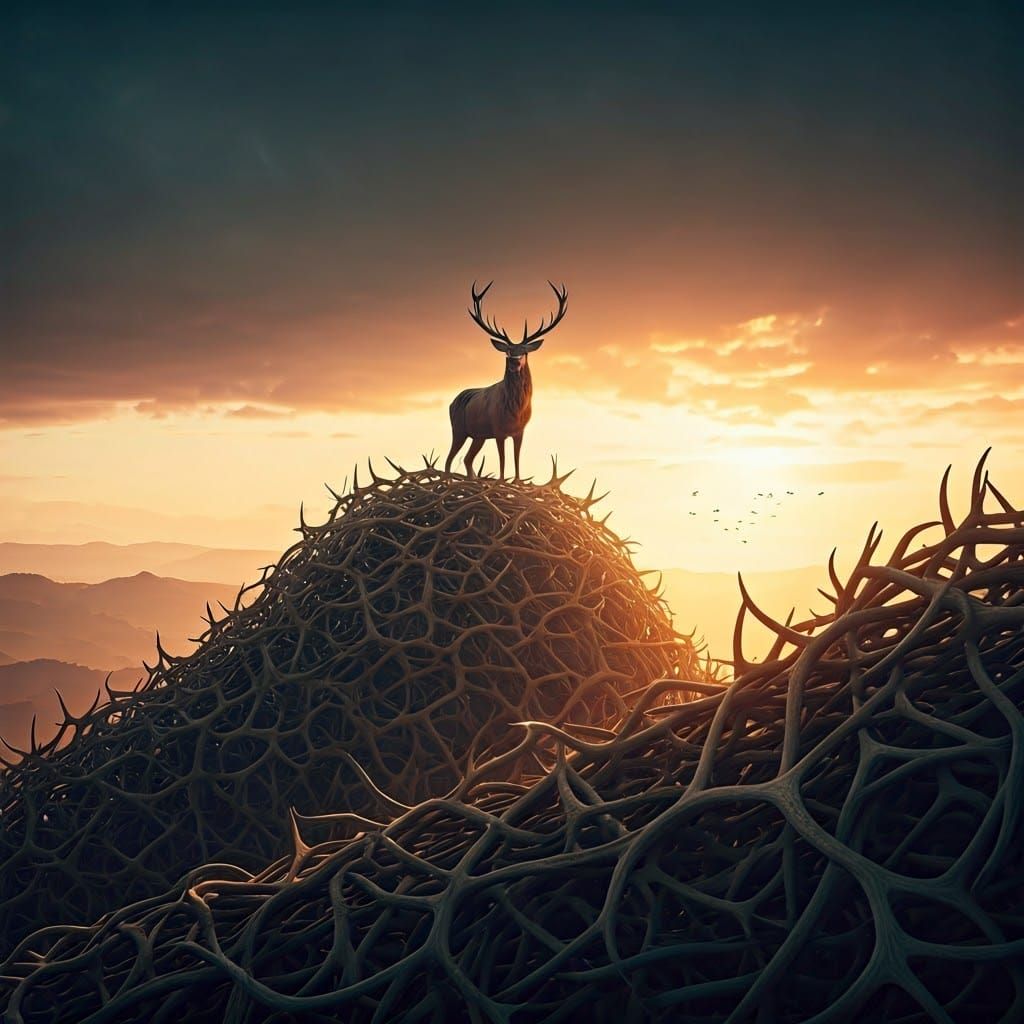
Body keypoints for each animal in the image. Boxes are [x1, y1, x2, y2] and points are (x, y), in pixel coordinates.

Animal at [445, 280, 568, 481]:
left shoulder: (520, 431)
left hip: (478, 436)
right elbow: (502, 462)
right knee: (449, 460)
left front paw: (517, 481)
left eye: (525, 351)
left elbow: (517, 461)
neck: (515, 410)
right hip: (458, 429)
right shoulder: (498, 430)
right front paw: (501, 481)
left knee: (468, 459)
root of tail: (453, 401)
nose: (514, 361)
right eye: (507, 351)